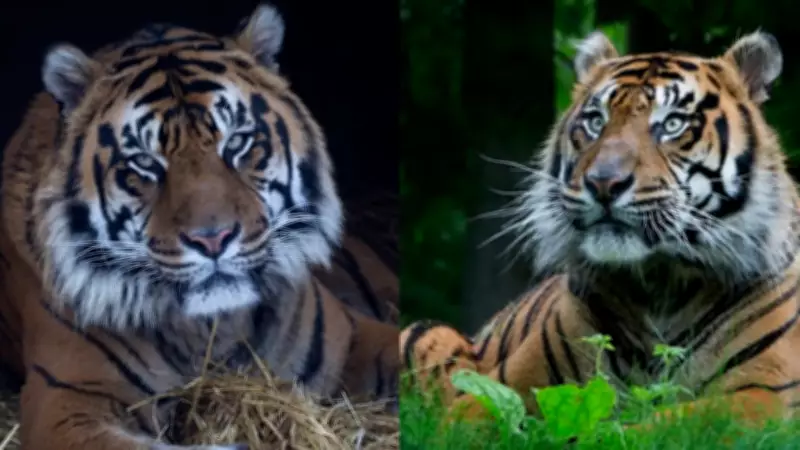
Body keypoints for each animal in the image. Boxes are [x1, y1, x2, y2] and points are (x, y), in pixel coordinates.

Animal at [0, 4, 399, 449]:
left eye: (238, 143)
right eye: (145, 162)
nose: (213, 240)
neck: (213, 328)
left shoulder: (352, 339)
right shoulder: (67, 402)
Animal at [401, 30, 800, 430]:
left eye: (673, 124)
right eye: (595, 121)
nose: (604, 183)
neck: (659, 285)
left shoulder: (762, 394)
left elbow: (654, 426)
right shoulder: (505, 385)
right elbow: (469, 419)